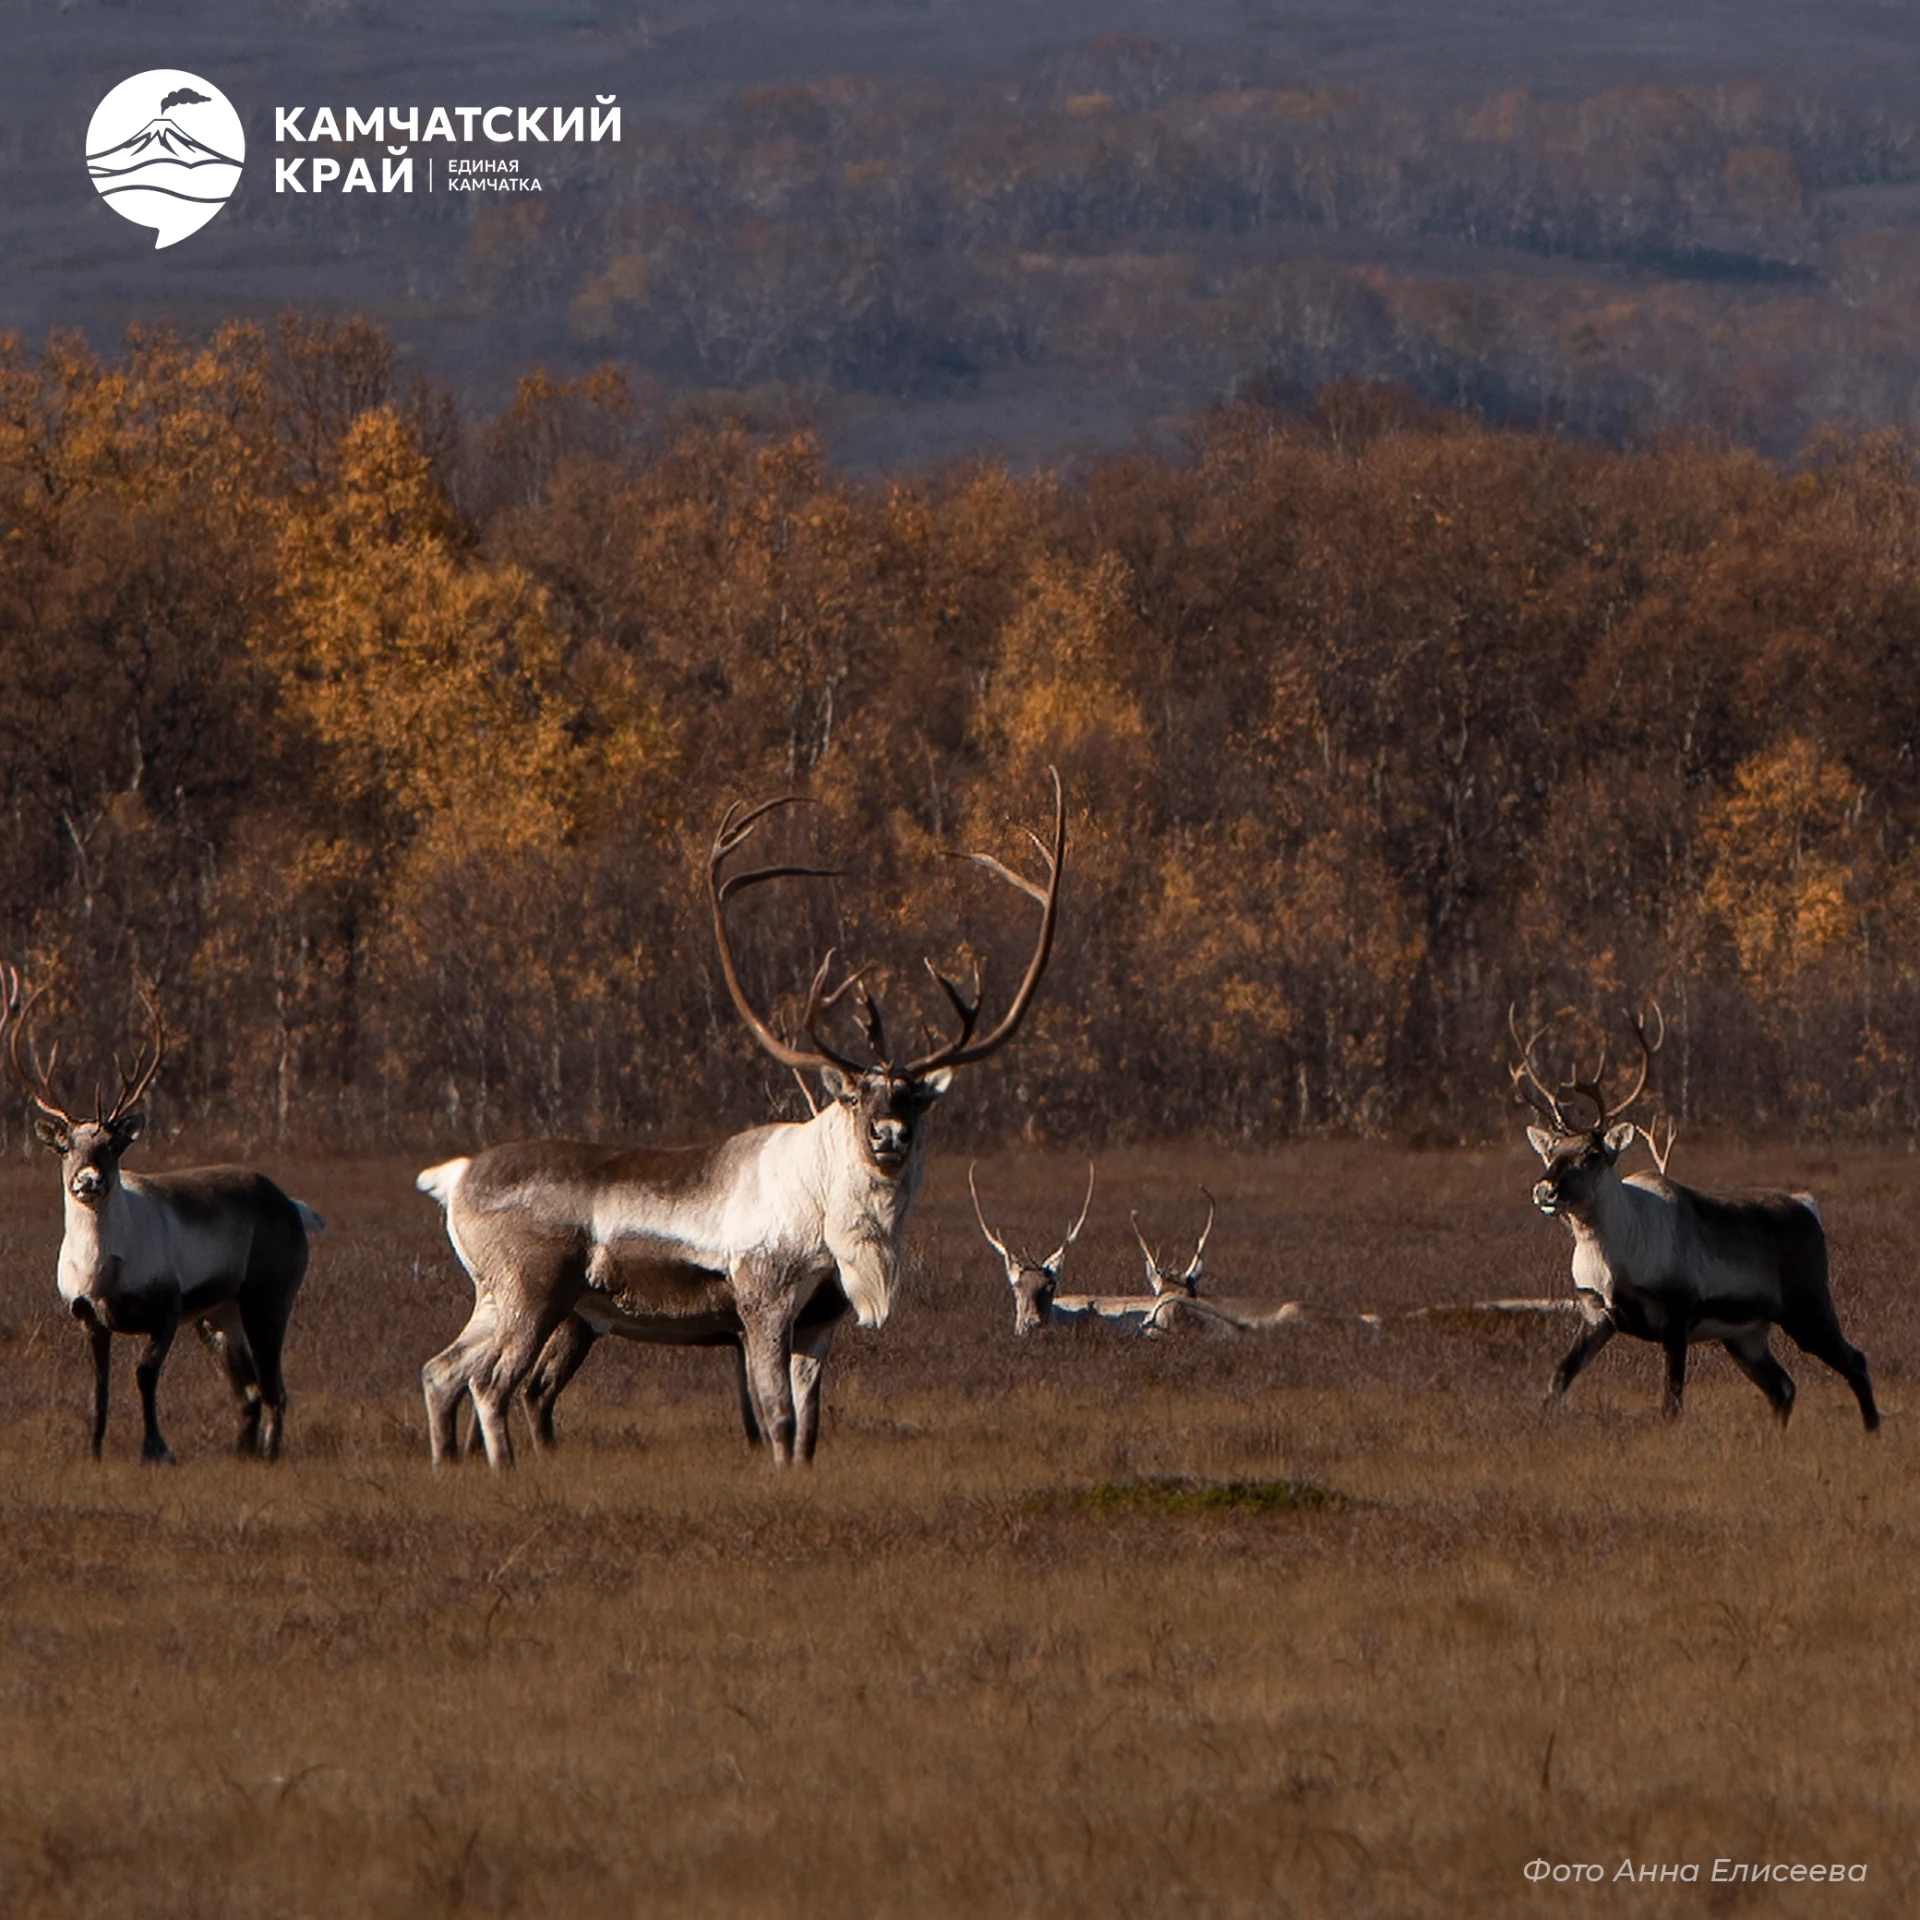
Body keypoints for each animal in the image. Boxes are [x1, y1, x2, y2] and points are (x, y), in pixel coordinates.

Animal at [3, 968, 323, 1463]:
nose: (89, 1180)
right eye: (66, 1146)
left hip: (268, 1296)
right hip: (219, 1315)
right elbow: (98, 1390)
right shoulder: (88, 1317)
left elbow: (144, 1375)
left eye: (113, 1146)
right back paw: (242, 1453)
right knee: (248, 1390)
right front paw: (94, 1452)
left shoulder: (169, 1308)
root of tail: (293, 1206)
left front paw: (156, 1449)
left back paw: (270, 1454)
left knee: (274, 1388)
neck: (102, 1270)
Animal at [417, 771, 1066, 1470]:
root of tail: (454, 1178)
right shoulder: (765, 1302)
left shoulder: (820, 1321)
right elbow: (776, 1416)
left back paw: (446, 1464)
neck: (832, 1221)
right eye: (855, 1096)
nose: (888, 1134)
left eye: (914, 1097)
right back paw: (502, 1469)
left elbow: (809, 1427)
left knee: (442, 1370)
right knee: (491, 1382)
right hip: (532, 1291)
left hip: (498, 1297)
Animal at [1511, 1006, 1878, 1430]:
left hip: (1808, 1306)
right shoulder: (1596, 1316)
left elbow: (1671, 1402)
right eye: (1550, 1151)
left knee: (1855, 1361)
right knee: (1783, 1387)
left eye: (1592, 1154)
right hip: (1746, 1335)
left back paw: (1871, 1432)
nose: (1544, 1190)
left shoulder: (1677, 1313)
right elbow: (1558, 1379)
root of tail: (1808, 1206)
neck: (1614, 1258)